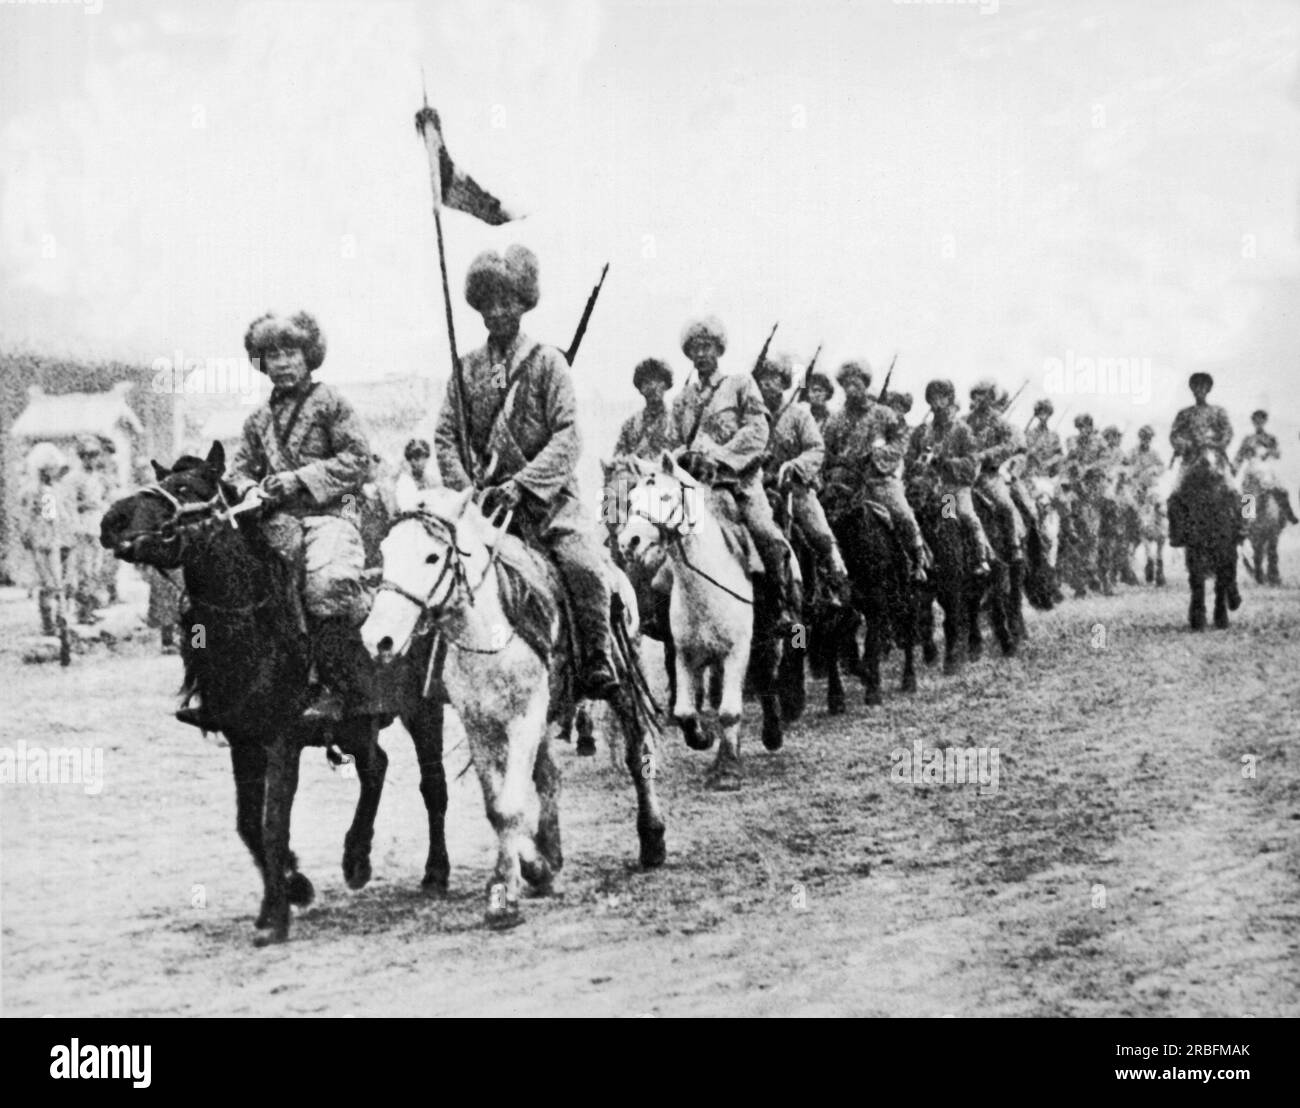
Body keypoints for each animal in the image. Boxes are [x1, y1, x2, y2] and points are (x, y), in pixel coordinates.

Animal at [100, 442, 452, 941]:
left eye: (185, 488)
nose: (112, 520)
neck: (252, 621)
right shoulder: (242, 741)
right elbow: (249, 824)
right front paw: (292, 887)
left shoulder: (282, 739)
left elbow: (272, 822)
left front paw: (278, 914)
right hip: (357, 724)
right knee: (375, 767)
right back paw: (356, 859)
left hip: (423, 709)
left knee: (432, 785)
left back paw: (435, 871)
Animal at [369, 483, 665, 925]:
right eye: (386, 552)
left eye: (432, 557)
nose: (378, 639)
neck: (490, 638)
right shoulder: (479, 725)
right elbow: (497, 807)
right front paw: (532, 869)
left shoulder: (523, 719)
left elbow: (508, 807)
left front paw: (504, 897)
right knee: (549, 777)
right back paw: (551, 853)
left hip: (623, 683)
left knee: (637, 753)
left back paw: (652, 839)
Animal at [613, 455, 764, 790]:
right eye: (632, 499)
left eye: (665, 497)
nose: (629, 542)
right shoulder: (685, 654)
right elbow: (684, 711)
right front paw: (702, 738)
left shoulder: (737, 654)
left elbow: (729, 712)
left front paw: (727, 771)